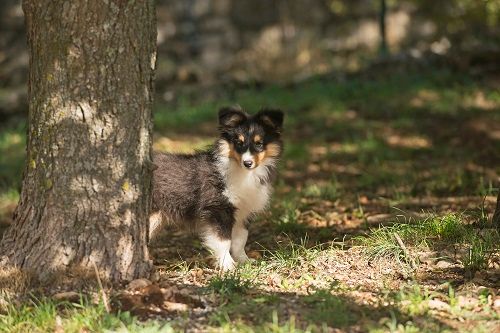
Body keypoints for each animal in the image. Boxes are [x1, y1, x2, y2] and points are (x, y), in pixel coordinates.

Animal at [148, 106, 284, 270]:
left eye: (259, 143)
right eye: (238, 142)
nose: (247, 163)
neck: (243, 173)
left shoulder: (244, 212)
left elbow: (240, 240)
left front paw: (244, 261)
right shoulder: (218, 209)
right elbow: (224, 241)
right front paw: (227, 265)